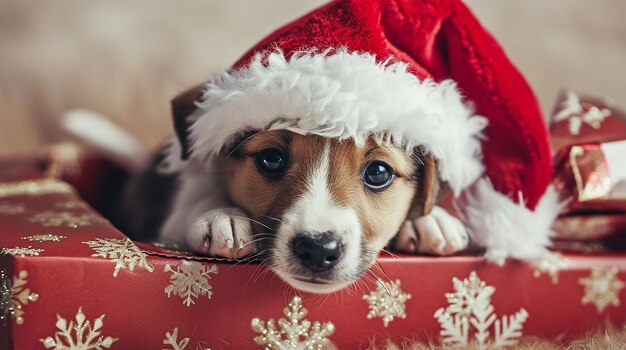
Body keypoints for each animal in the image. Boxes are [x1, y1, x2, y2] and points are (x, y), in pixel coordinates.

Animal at [116, 86, 468, 294]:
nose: (318, 249)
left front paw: (430, 220)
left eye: (378, 173)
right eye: (271, 159)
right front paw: (222, 216)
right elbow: (198, 196)